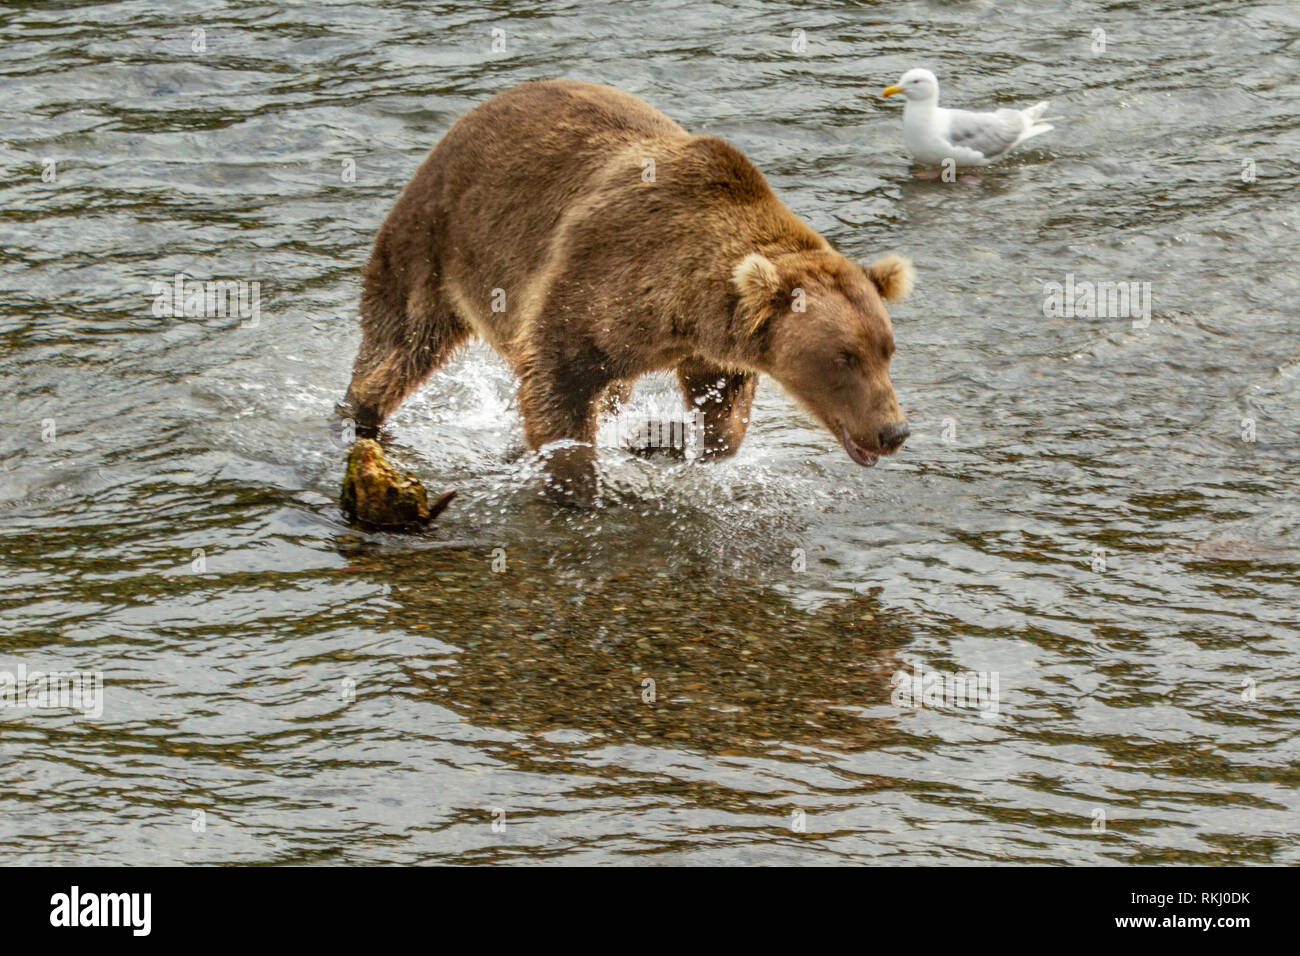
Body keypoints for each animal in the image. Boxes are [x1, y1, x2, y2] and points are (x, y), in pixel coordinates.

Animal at [340, 79, 913, 500]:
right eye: (843, 357)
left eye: (887, 350)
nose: (894, 431)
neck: (684, 304)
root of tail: (473, 113)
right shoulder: (599, 275)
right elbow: (557, 383)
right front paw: (577, 483)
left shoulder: (706, 339)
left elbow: (723, 404)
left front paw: (666, 439)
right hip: (434, 240)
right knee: (398, 344)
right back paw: (360, 419)